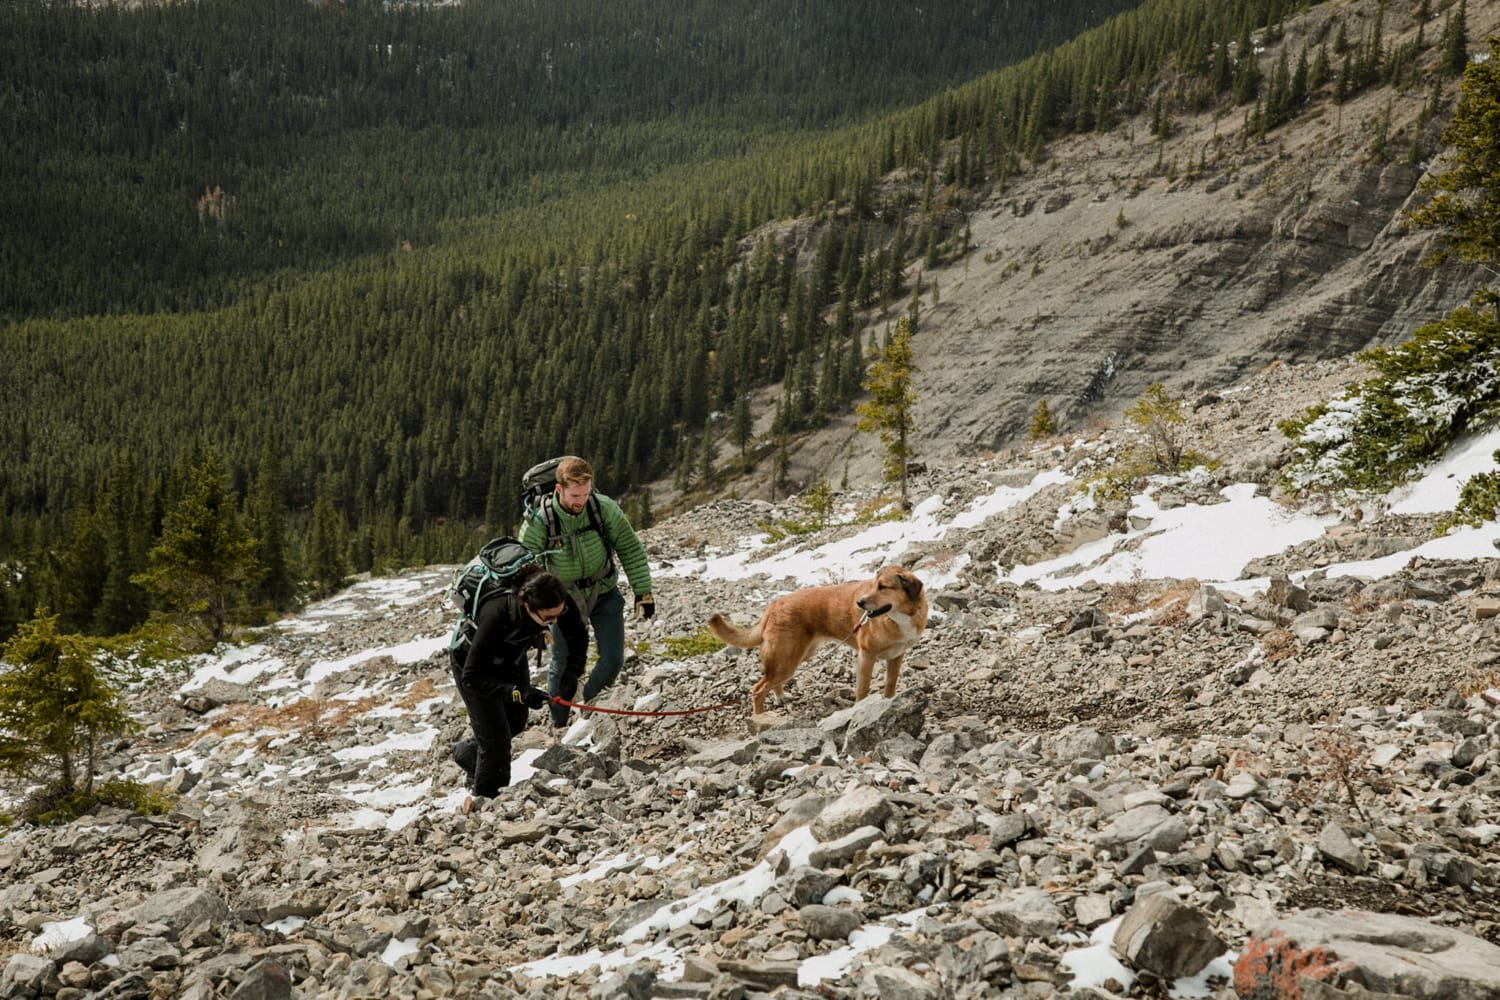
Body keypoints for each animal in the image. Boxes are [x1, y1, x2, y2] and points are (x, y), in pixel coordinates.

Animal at [705, 566, 924, 716]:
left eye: (883, 587)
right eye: (872, 585)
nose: (859, 603)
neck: (898, 618)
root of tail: (773, 605)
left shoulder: (896, 656)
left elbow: (890, 684)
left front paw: (889, 703)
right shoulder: (866, 656)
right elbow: (862, 690)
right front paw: (861, 709)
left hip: (797, 656)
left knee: (771, 682)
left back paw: (781, 697)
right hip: (786, 659)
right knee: (758, 689)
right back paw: (760, 718)